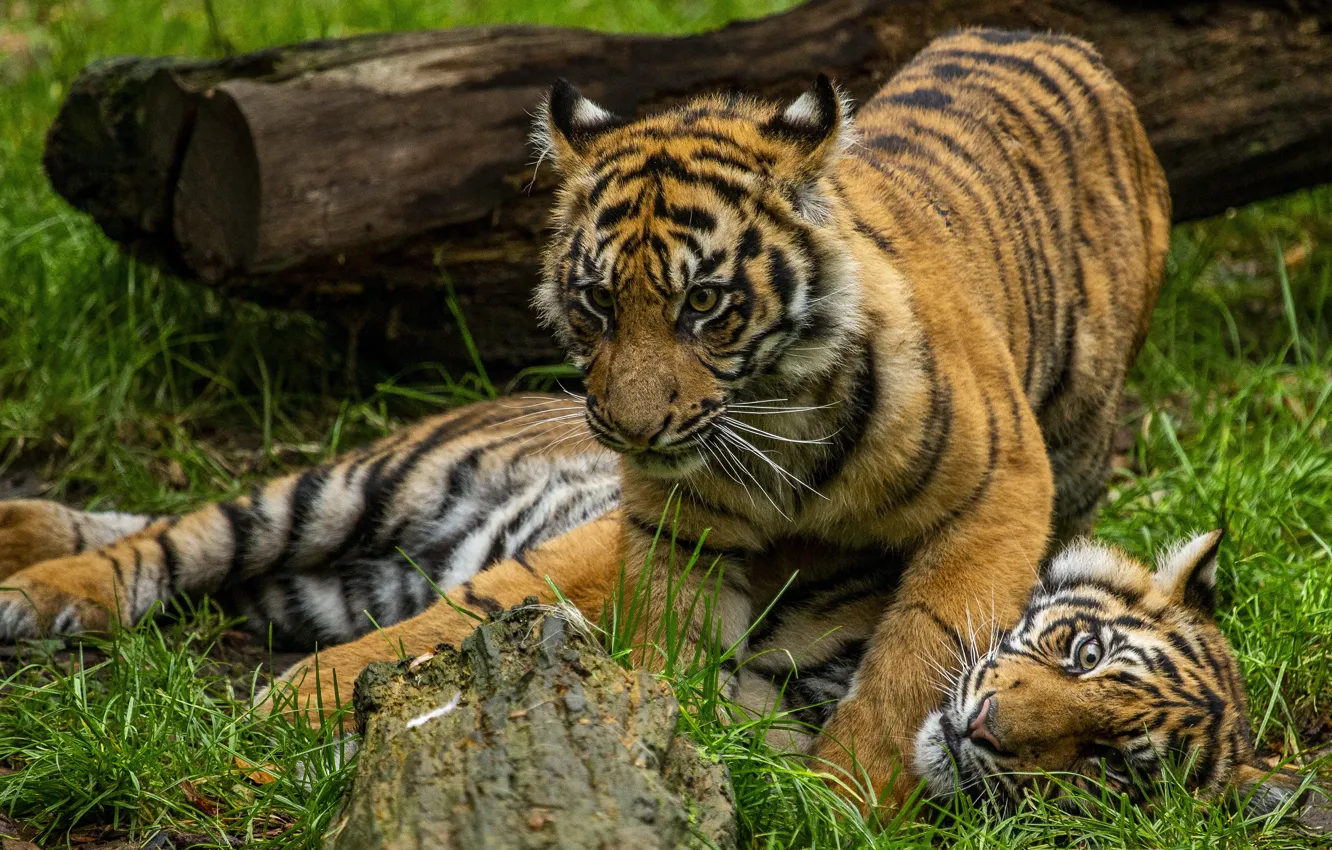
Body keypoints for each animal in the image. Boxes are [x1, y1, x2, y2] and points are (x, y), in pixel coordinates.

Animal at [0, 28, 1171, 807]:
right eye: (600, 301)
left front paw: (842, 799)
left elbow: (919, 653)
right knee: (174, 539)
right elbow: (574, 623)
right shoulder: (665, 525)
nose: (633, 433)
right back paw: (41, 585)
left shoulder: (997, 494)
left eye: (706, 304)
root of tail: (1050, 34)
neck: (775, 424)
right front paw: (659, 737)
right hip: (341, 490)